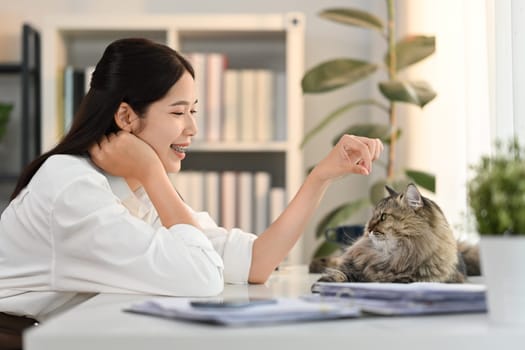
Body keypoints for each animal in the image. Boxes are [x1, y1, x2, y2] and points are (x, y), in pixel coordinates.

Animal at [312, 183, 478, 284]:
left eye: (383, 217)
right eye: (372, 216)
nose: (368, 229)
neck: (390, 257)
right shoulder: (354, 265)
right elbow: (341, 273)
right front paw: (325, 281)